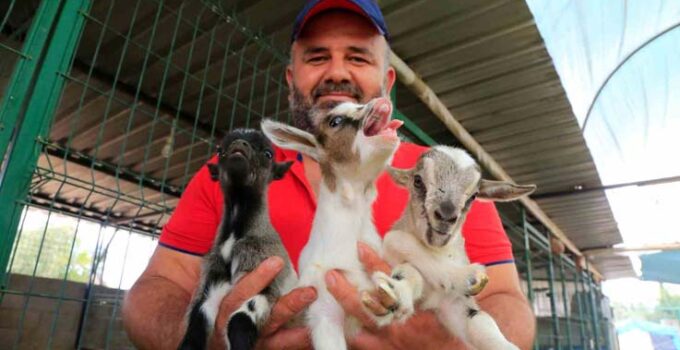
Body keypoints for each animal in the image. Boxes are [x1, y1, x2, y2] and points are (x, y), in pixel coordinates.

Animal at [179, 130, 296, 350]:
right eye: (219, 150)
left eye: (268, 153)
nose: (239, 145)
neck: (235, 236)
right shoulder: (213, 278)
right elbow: (197, 320)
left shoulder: (266, 273)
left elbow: (240, 319)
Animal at [364, 146, 532, 350]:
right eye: (417, 180)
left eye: (474, 195)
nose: (446, 215)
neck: (440, 252)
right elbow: (398, 246)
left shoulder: (453, 303)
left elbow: (481, 320)